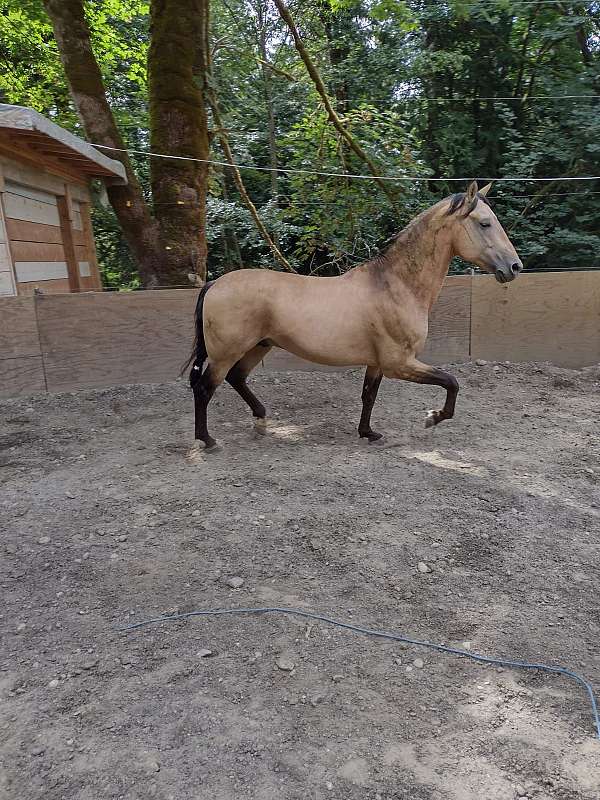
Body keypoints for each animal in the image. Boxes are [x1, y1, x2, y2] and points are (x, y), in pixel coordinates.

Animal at [185, 184, 524, 454]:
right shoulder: (399, 363)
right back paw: (207, 440)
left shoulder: (377, 363)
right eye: (485, 223)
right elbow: (451, 382)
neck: (396, 285)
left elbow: (368, 396)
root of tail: (214, 284)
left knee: (236, 378)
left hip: (259, 346)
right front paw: (432, 418)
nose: (515, 267)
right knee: (205, 388)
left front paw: (368, 433)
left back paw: (260, 421)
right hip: (227, 352)